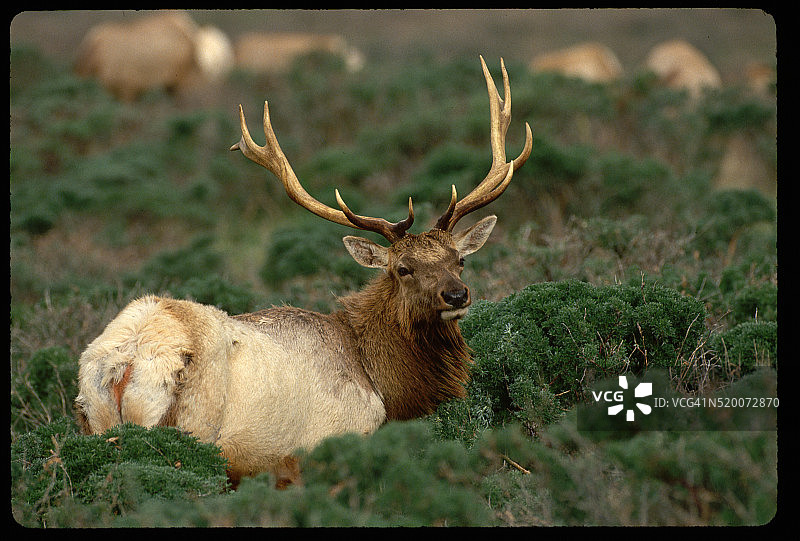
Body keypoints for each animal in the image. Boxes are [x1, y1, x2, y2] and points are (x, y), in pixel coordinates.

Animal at [74, 56, 532, 488]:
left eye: (459, 260)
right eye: (403, 268)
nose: (457, 295)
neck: (384, 385)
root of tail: (123, 361)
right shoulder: (326, 444)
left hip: (95, 423)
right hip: (192, 429)